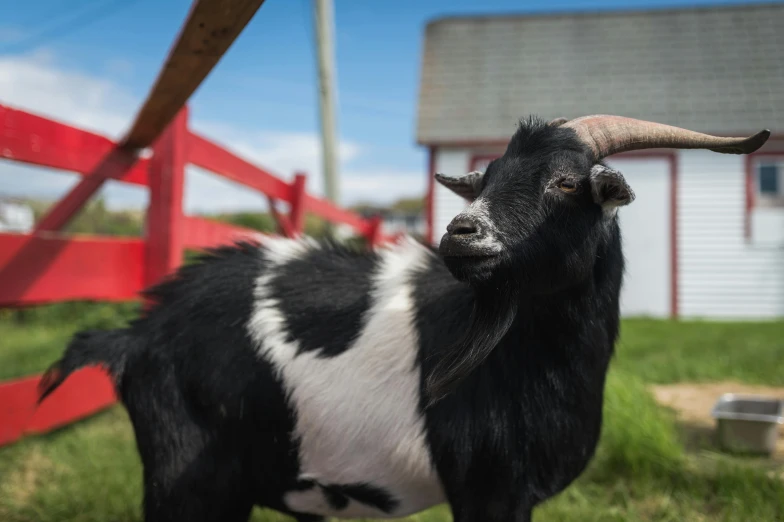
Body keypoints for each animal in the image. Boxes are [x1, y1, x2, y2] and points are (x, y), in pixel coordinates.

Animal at [39, 115, 768, 520]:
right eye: (487, 176)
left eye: (566, 182)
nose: (461, 233)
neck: (527, 362)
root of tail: (137, 331)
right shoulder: (488, 489)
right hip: (182, 475)